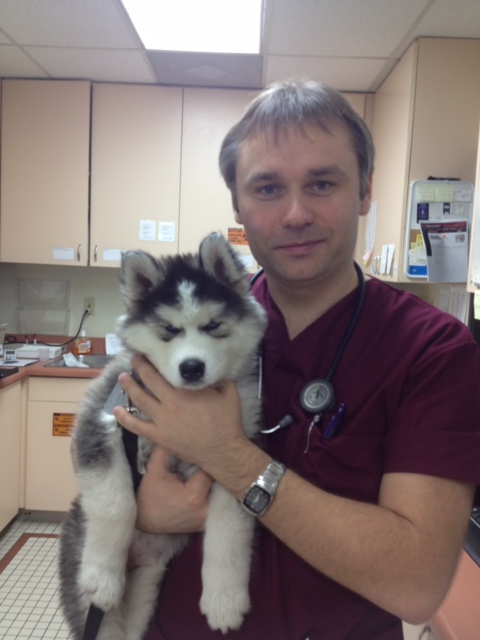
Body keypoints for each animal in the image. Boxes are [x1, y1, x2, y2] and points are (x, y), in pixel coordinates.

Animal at [58, 235, 268, 640]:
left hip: (146, 588)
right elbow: (116, 503)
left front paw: (224, 600)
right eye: (168, 329)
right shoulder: (103, 420)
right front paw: (102, 577)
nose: (192, 368)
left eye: (213, 324)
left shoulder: (235, 455)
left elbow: (229, 526)